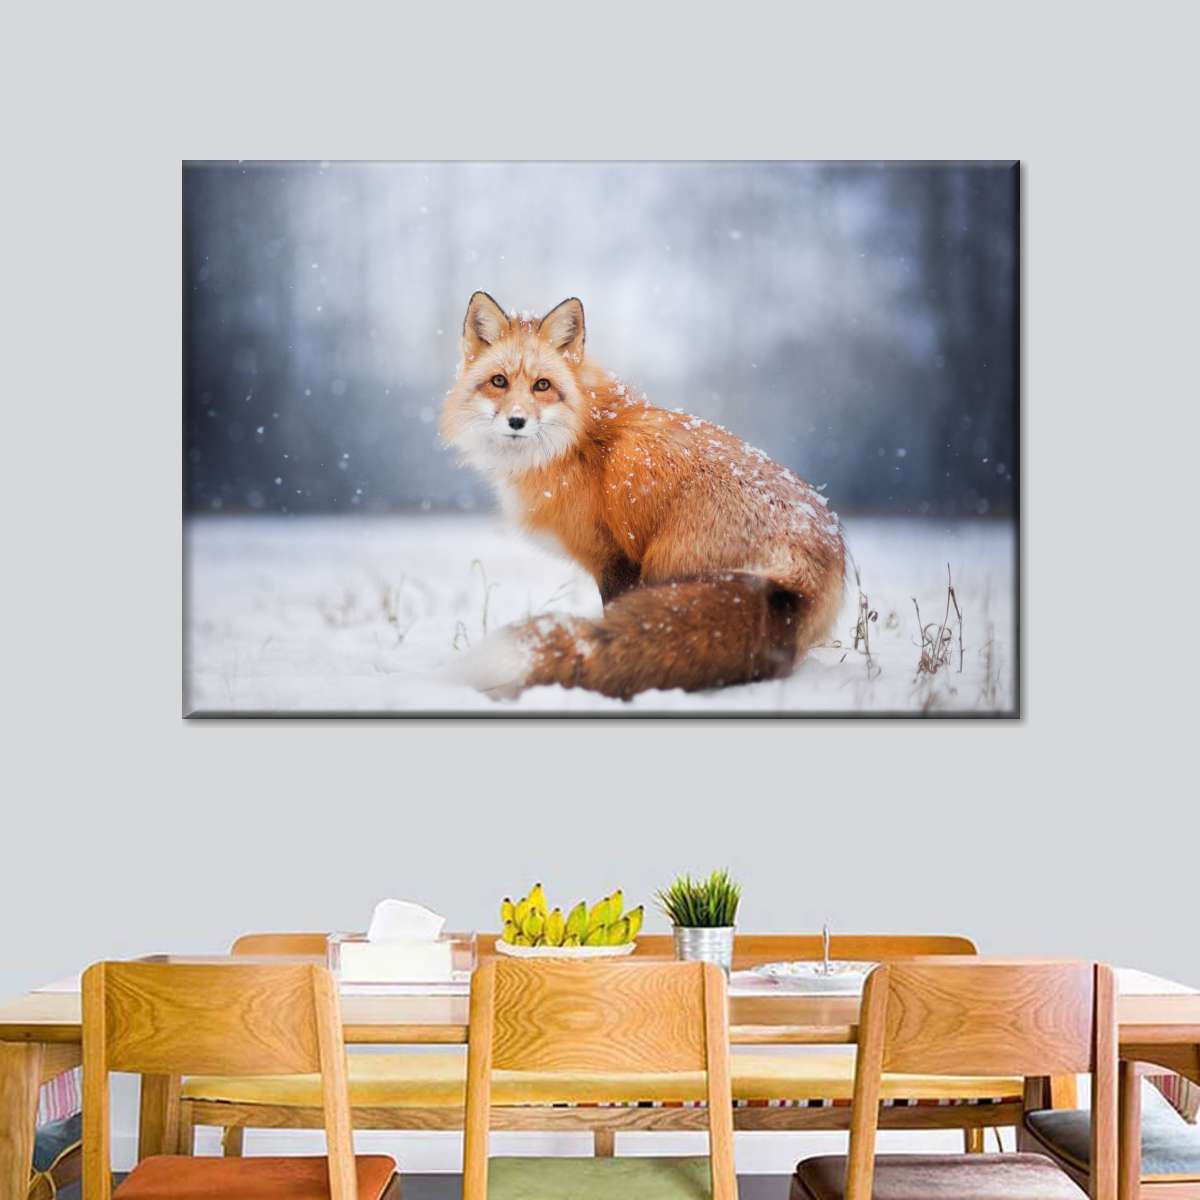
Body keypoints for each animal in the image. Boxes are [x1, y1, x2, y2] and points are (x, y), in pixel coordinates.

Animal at [440, 291, 845, 700]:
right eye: (499, 381)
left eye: (542, 385)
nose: (517, 421)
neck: (579, 440)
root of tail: (806, 570)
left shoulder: (615, 559)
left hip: (665, 566)